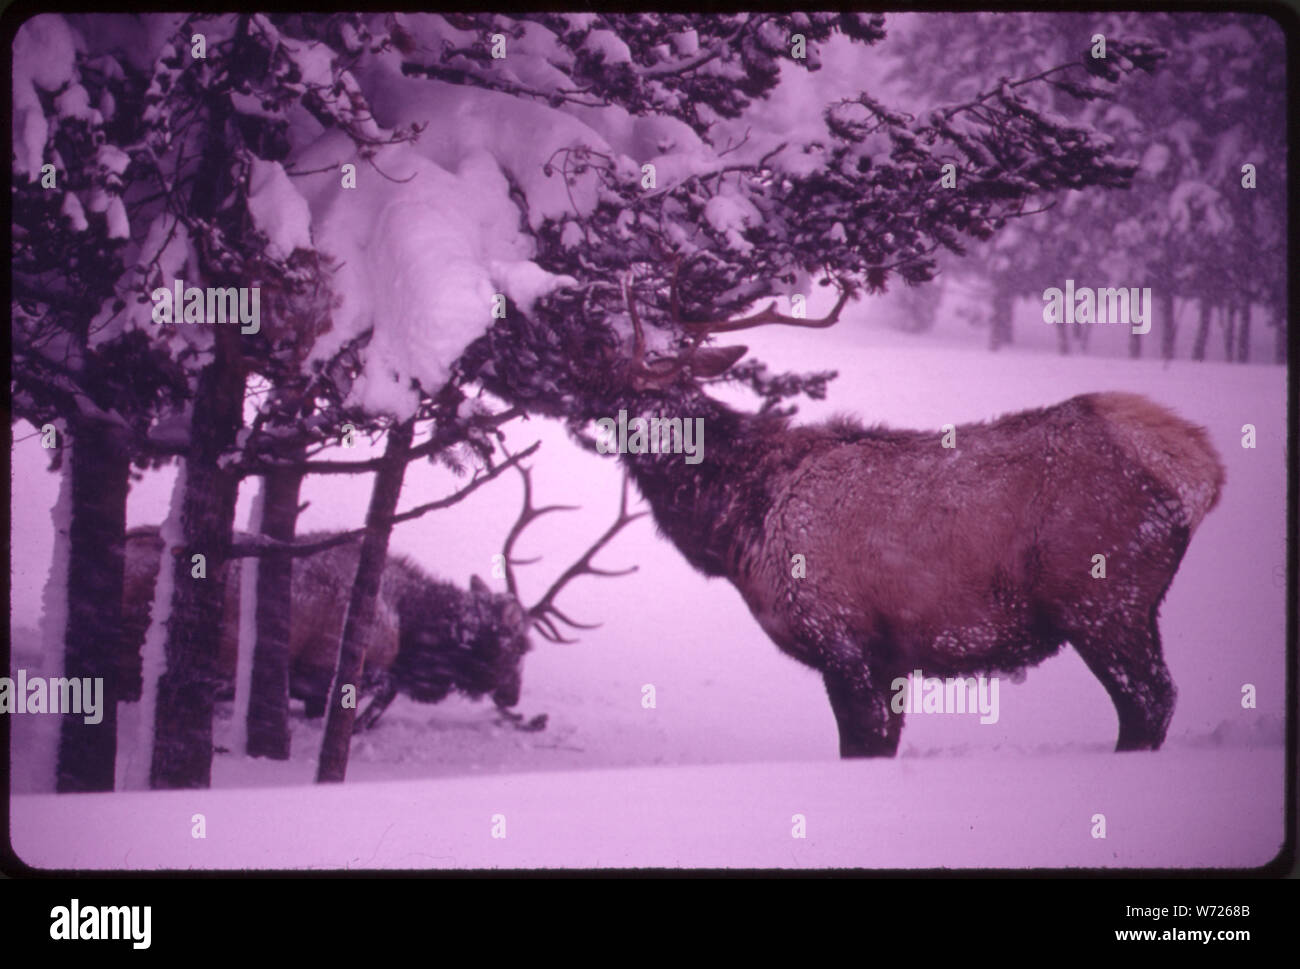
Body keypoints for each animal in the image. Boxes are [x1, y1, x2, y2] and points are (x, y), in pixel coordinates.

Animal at [553, 264, 1226, 758]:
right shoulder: (891, 656)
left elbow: (861, 747)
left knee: (1151, 701)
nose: (564, 344)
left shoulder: (844, 637)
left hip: (1104, 599)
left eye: (608, 363)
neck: (741, 524)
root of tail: (1202, 471)